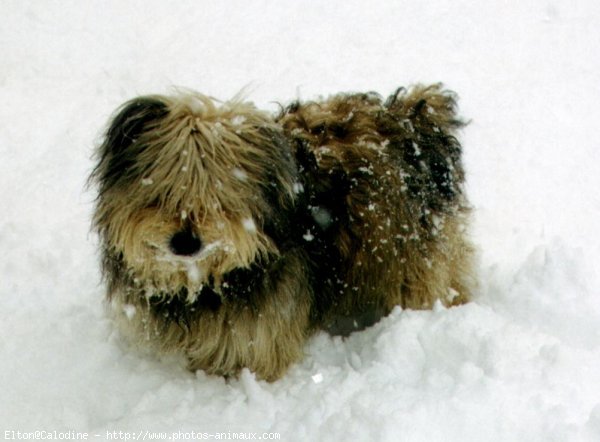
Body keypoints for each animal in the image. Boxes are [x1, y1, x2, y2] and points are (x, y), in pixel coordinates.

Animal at [90, 84, 474, 382]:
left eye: (219, 200)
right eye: (162, 194)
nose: (186, 241)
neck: (206, 282)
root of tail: (415, 117)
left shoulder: (261, 333)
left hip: (413, 258)